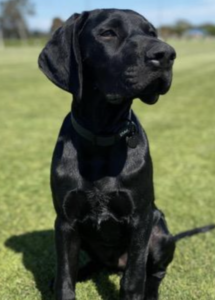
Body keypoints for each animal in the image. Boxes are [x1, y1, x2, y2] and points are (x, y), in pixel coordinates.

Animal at [38, 8, 215, 298]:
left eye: (152, 32)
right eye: (108, 33)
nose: (166, 54)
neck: (103, 136)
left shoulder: (141, 219)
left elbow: (134, 279)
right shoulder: (65, 222)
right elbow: (65, 277)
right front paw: (62, 283)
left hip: (160, 233)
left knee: (154, 272)